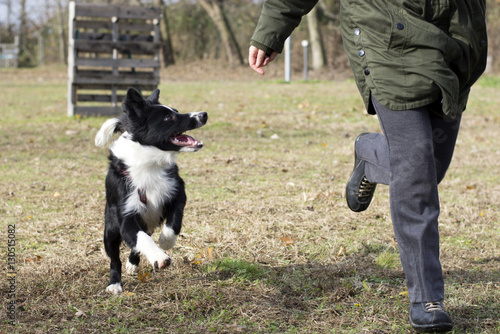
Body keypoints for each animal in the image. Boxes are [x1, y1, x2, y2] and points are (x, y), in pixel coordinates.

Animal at [94, 87, 206, 294]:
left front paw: (166, 242)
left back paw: (133, 263)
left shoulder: (177, 193)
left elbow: (174, 223)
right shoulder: (126, 215)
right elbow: (141, 239)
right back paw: (115, 283)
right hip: (110, 230)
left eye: (176, 111)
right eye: (169, 117)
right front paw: (159, 257)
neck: (150, 164)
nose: (203, 114)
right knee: (115, 258)